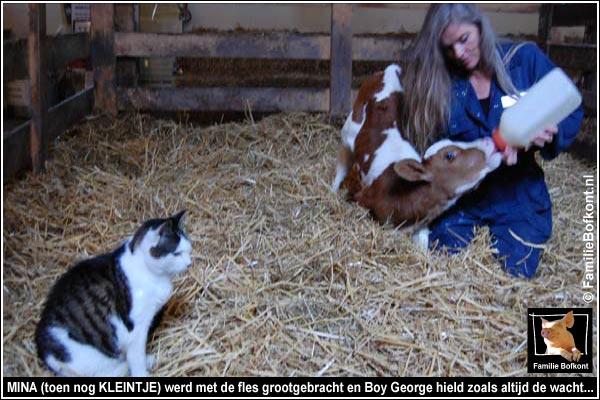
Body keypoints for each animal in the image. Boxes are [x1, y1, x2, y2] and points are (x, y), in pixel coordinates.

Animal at [34, 211, 192, 376]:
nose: (189, 263)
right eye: (177, 253)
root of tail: (43, 350)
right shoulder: (136, 327)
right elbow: (136, 356)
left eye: (189, 249)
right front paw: (141, 372)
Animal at [332, 64, 502, 248]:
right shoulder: (362, 198)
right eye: (450, 155)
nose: (488, 140)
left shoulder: (421, 229)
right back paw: (332, 191)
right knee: (342, 167)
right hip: (349, 131)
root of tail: (389, 71)